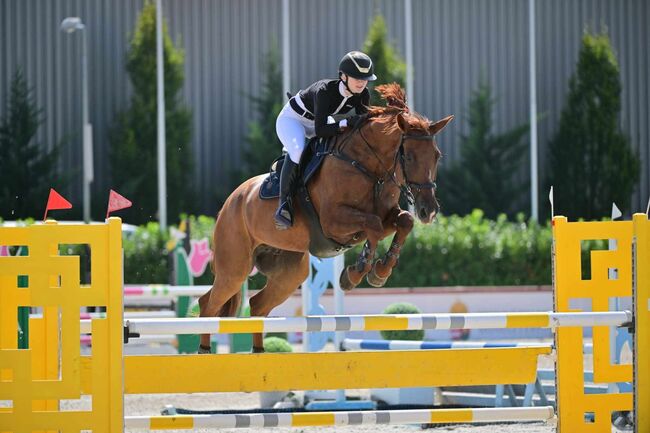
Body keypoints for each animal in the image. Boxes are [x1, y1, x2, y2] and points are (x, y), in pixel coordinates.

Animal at [197, 83, 450, 352]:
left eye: (437, 156)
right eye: (409, 157)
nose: (428, 210)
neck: (367, 166)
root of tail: (230, 202)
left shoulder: (386, 216)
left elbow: (403, 222)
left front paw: (380, 271)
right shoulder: (333, 222)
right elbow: (372, 225)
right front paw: (356, 273)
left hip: (289, 273)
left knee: (257, 305)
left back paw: (258, 352)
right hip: (234, 269)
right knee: (209, 305)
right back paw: (204, 351)